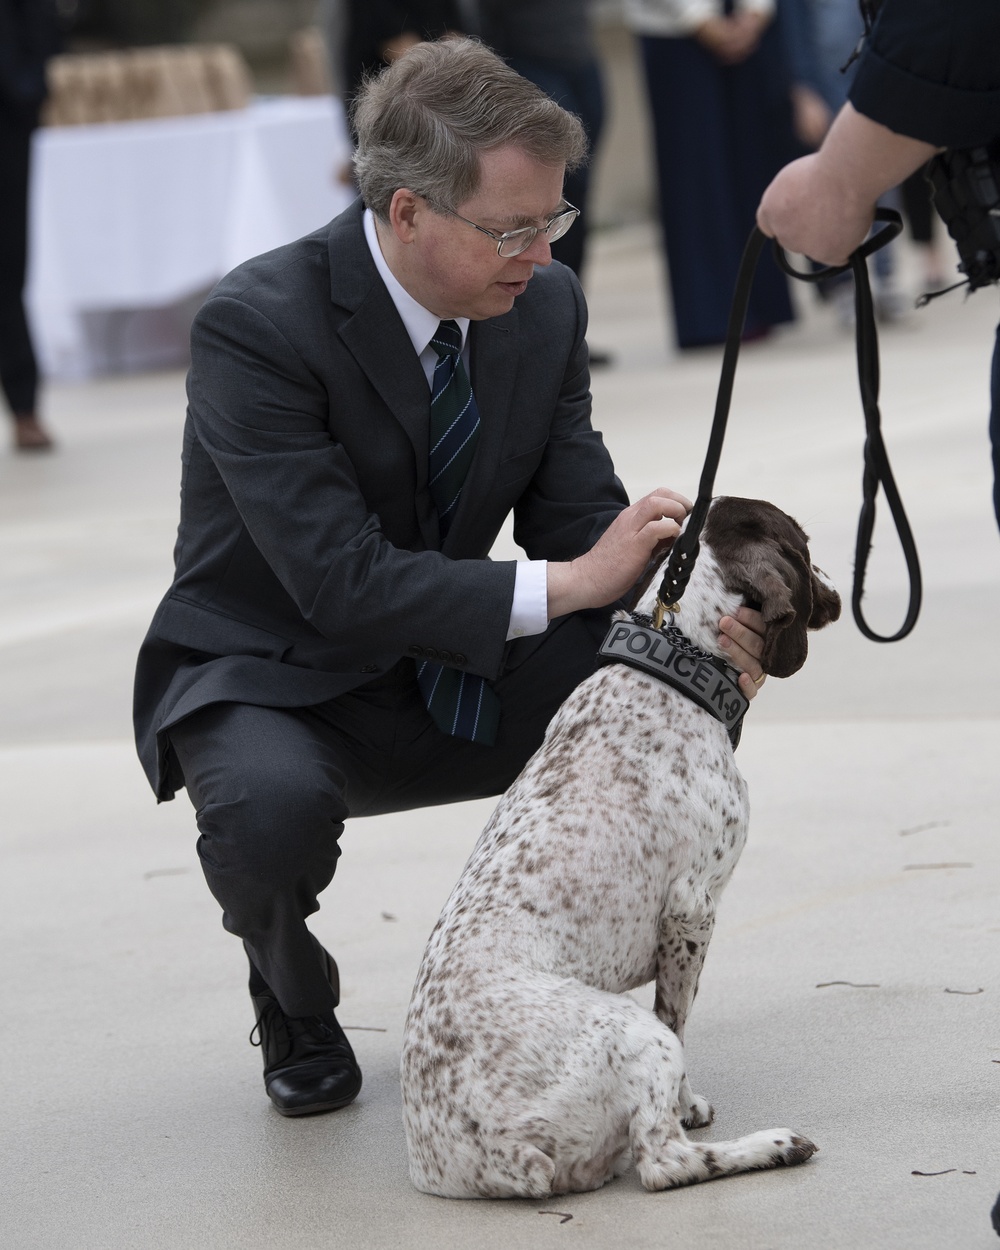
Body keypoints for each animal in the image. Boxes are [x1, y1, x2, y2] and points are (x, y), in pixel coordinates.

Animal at [397, 492, 845, 1195]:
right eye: (801, 544)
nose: (837, 592)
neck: (673, 667)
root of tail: (495, 1154)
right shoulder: (691, 910)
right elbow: (678, 1017)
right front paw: (690, 1104)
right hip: (630, 1029)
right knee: (665, 1161)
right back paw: (775, 1145)